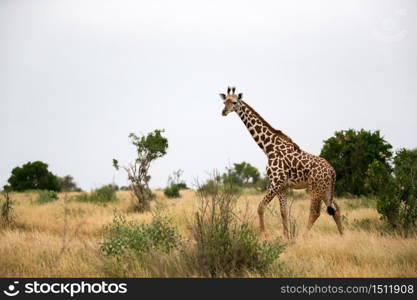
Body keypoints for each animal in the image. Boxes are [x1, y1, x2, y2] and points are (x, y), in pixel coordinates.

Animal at [218, 86, 342, 239]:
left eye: (234, 102)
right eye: (224, 102)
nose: (223, 112)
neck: (268, 148)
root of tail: (332, 171)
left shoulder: (276, 182)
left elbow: (261, 207)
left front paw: (263, 235)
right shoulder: (282, 186)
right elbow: (283, 212)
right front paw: (286, 237)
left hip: (315, 188)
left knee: (315, 211)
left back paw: (303, 236)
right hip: (326, 189)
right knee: (335, 209)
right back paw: (343, 236)